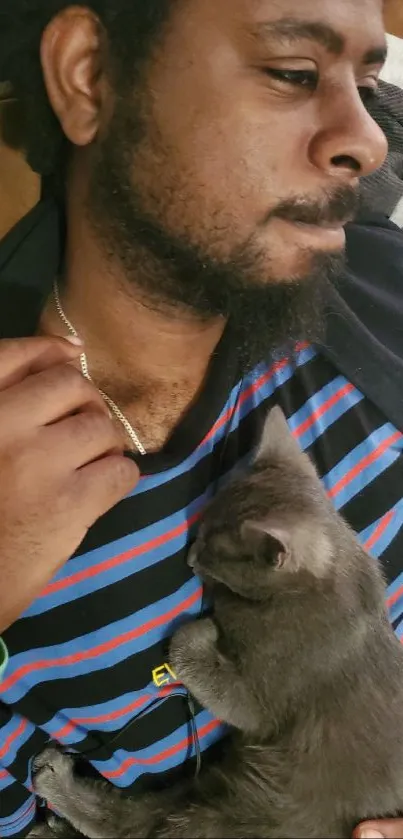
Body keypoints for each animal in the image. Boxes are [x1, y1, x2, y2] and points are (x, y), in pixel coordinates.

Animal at [32, 408, 403, 839]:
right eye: (201, 531)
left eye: (213, 551)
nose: (191, 557)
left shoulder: (267, 694)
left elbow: (230, 692)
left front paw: (199, 631)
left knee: (140, 825)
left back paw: (56, 785)